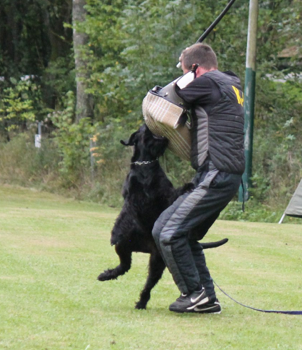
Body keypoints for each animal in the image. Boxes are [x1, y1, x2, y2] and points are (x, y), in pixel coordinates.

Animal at [98, 125, 228, 308]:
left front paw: (188, 185)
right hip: (121, 245)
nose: (147, 124)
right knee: (124, 266)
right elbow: (135, 203)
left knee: (145, 281)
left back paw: (141, 302)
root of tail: (145, 246)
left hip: (156, 261)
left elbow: (171, 194)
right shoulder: (133, 194)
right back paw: (106, 275)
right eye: (143, 130)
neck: (146, 164)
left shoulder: (165, 193)